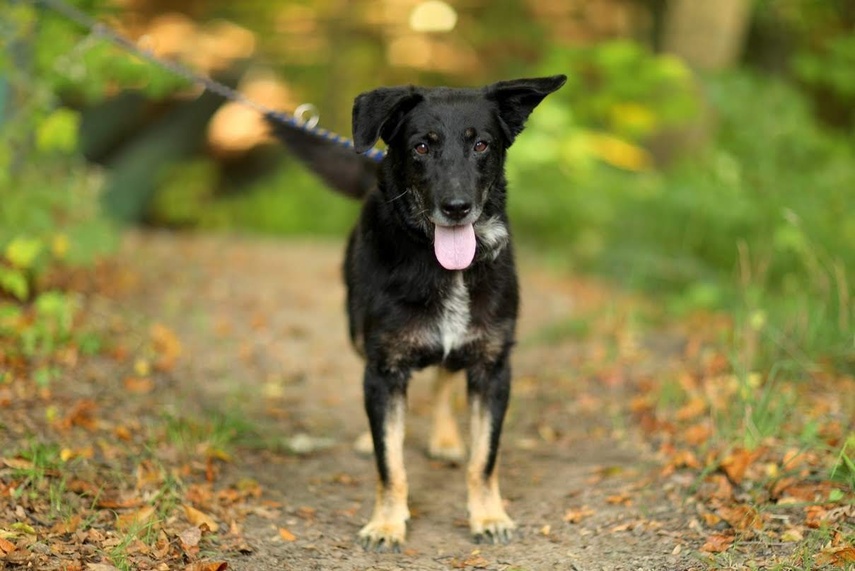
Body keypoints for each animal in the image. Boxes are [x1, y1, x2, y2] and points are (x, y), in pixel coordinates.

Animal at [270, 75, 568, 548]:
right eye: (422, 147)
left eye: (481, 145)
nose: (457, 207)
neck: (447, 269)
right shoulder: (384, 368)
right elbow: (389, 461)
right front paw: (387, 522)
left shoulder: (494, 368)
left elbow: (485, 458)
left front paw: (489, 515)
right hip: (357, 332)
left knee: (444, 375)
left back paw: (445, 438)